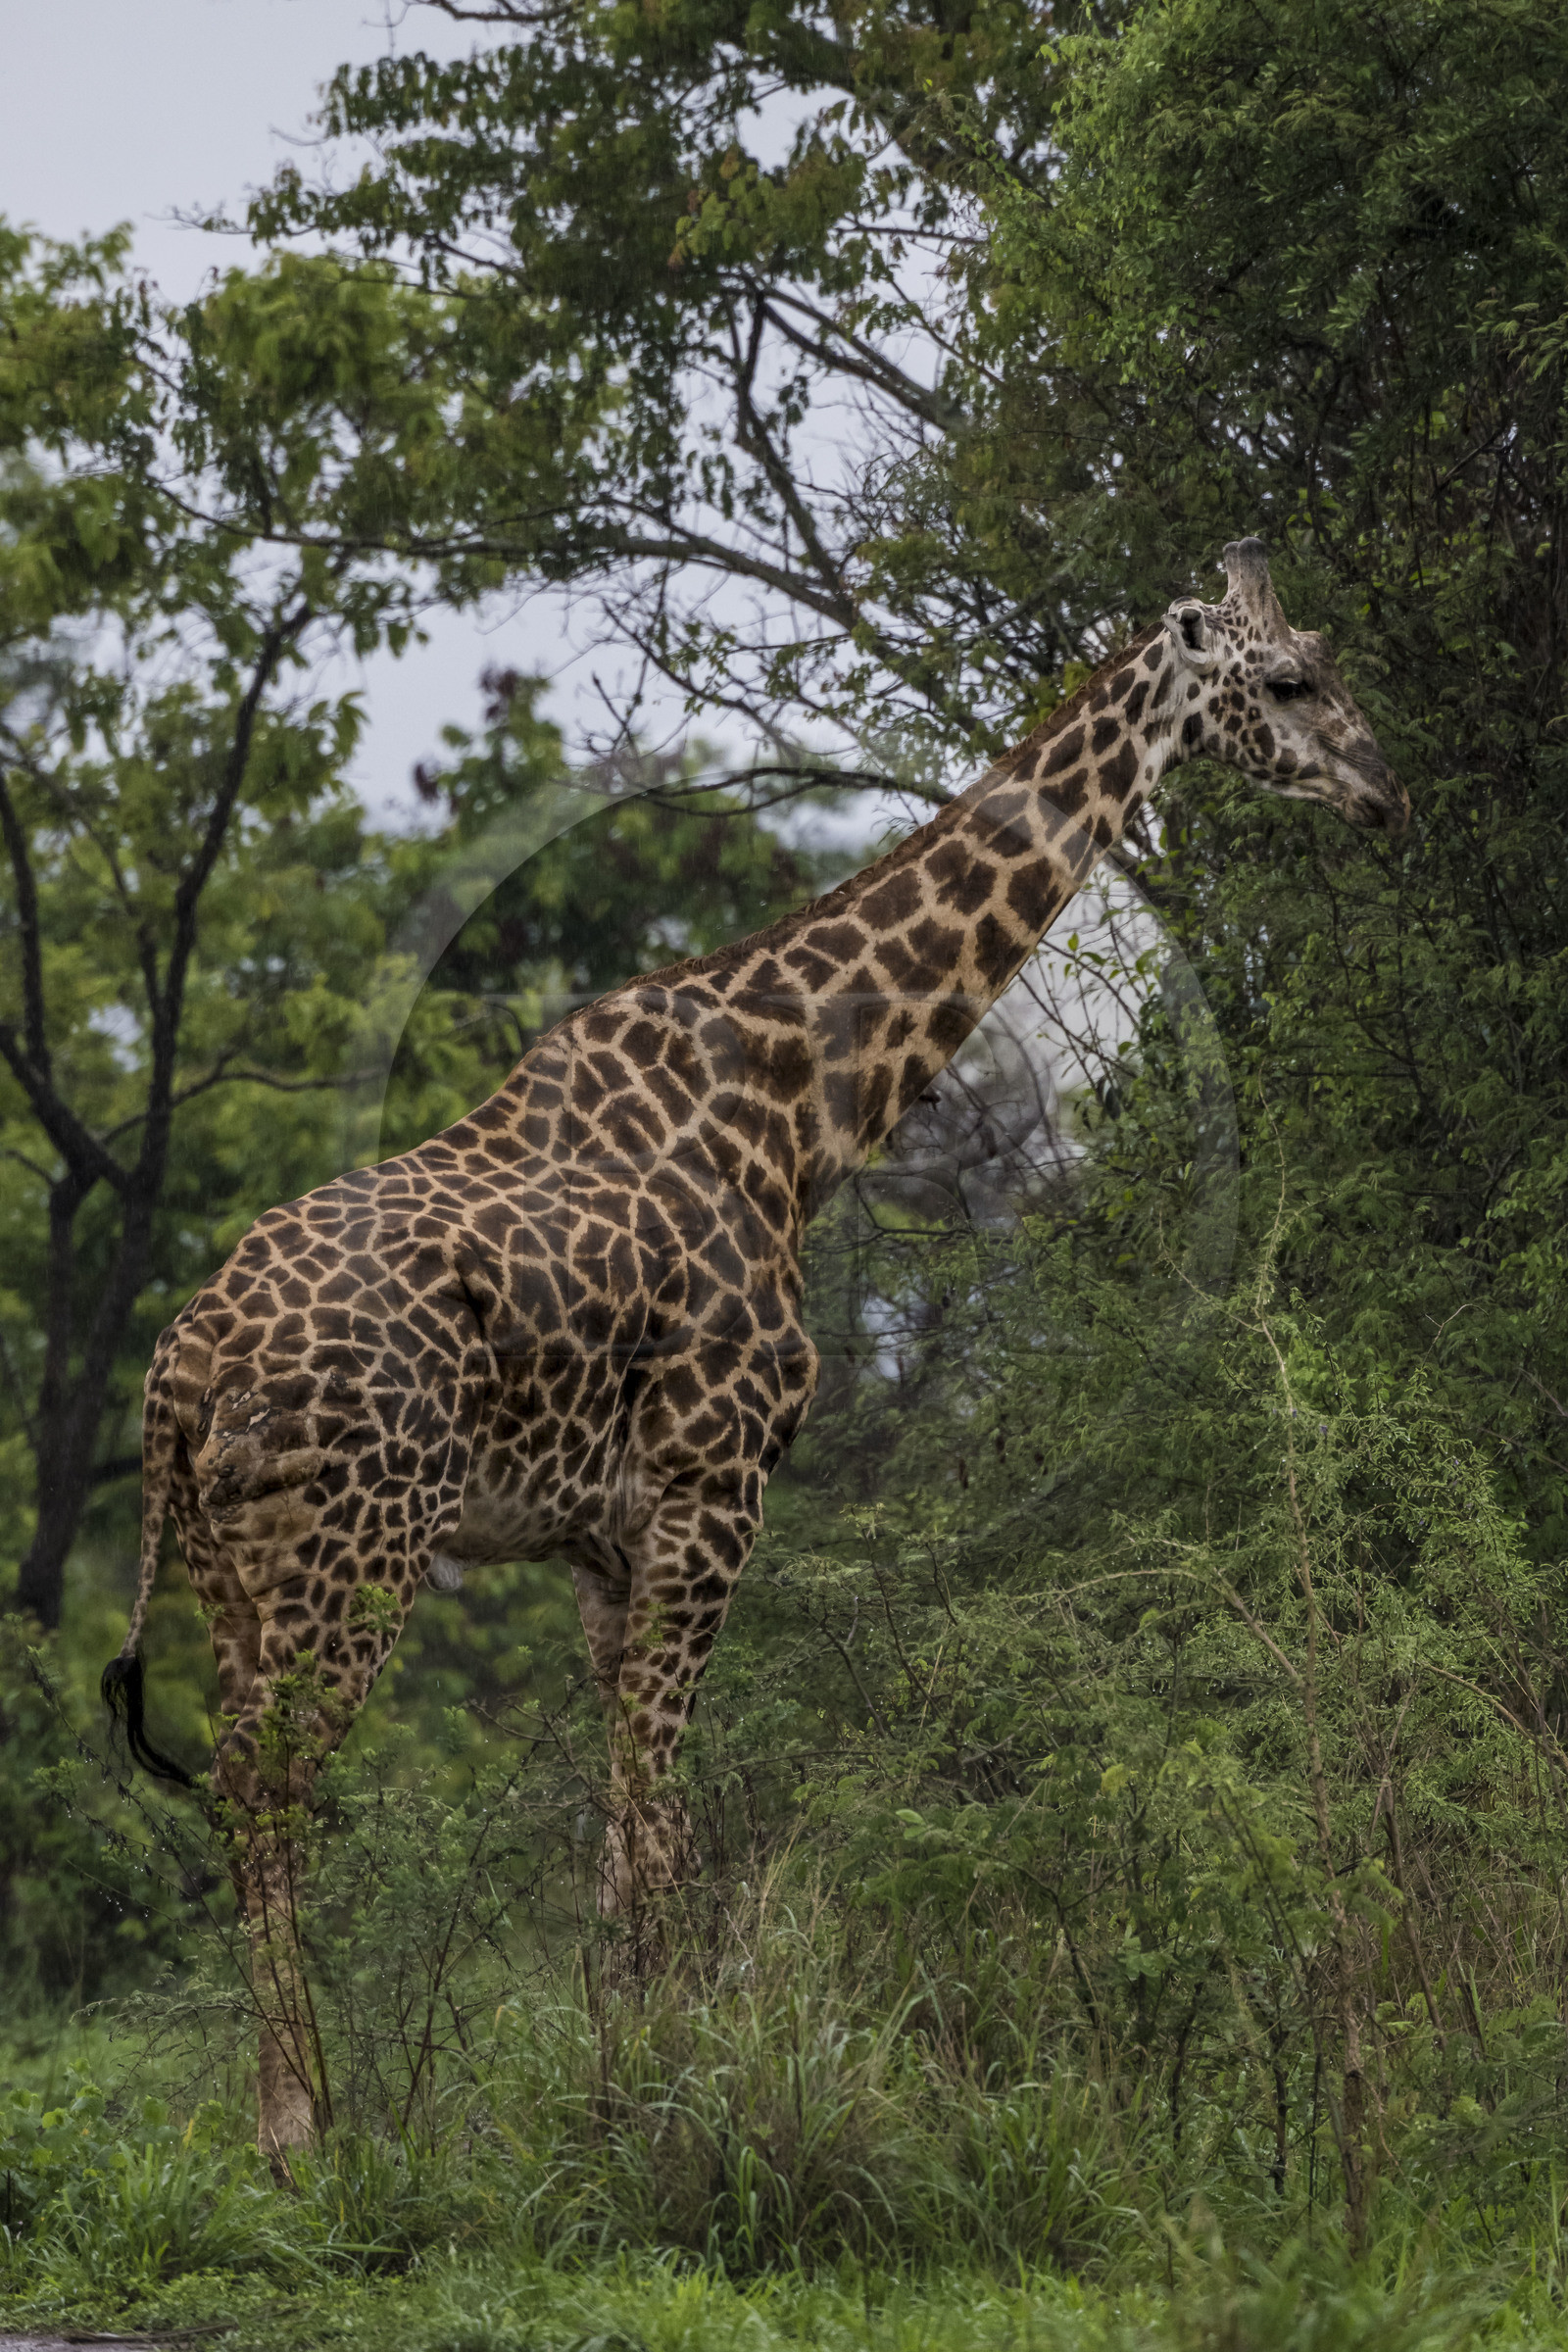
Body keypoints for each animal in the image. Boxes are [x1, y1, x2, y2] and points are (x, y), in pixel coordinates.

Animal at [103, 540, 1407, 2158]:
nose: (1382, 788)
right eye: (1286, 681)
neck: (799, 1114)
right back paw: (304, 2132)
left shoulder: (605, 1544)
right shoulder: (715, 1490)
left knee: (235, 1786)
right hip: (361, 1548)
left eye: (1330, 664)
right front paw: (673, 2097)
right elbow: (663, 1818)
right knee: (266, 1781)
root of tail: (182, 1372)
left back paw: (293, 2118)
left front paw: (619, 2073)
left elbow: (625, 1827)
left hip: (233, 1570)